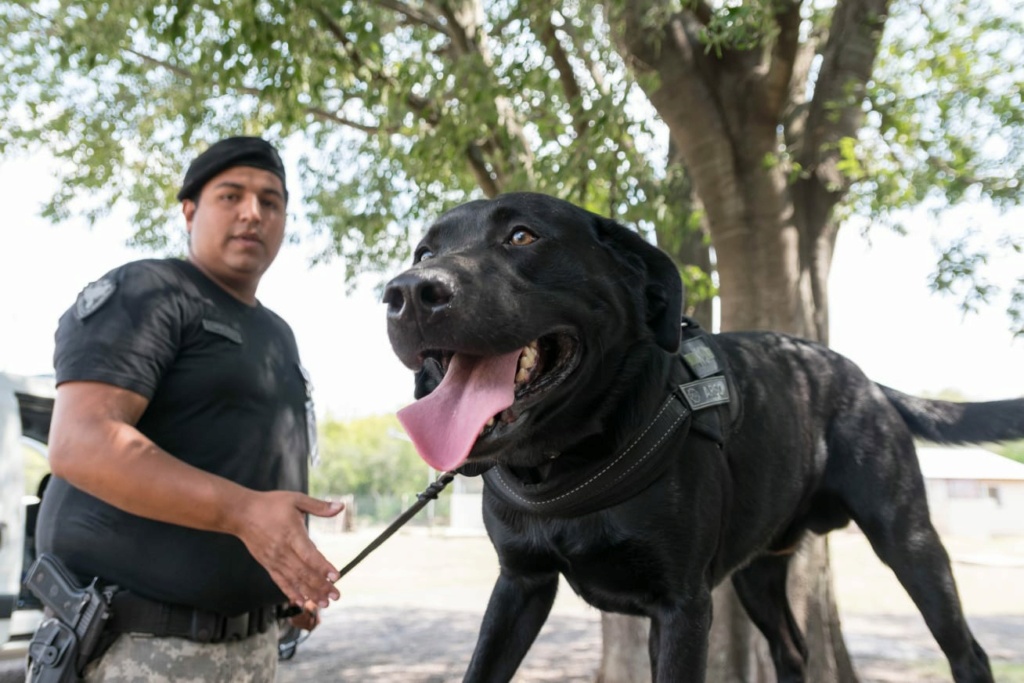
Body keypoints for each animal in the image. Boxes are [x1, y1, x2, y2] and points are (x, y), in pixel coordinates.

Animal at [382, 192, 1015, 683]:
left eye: (521, 235)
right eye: (424, 253)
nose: (407, 293)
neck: (566, 462)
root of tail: (864, 379)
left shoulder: (681, 607)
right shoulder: (520, 585)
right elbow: (480, 668)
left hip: (908, 541)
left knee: (969, 653)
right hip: (760, 573)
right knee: (793, 649)